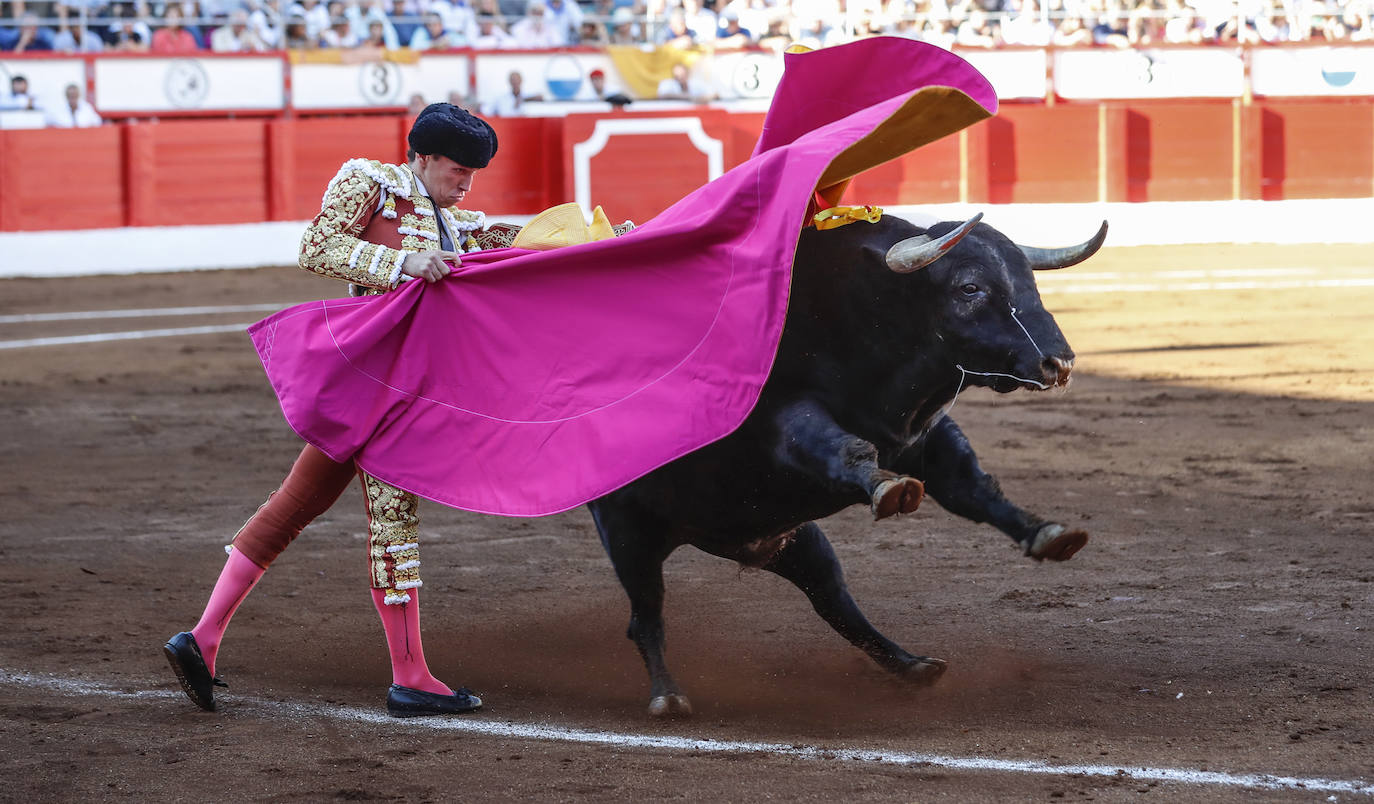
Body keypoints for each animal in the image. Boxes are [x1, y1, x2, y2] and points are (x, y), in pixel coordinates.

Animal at [585, 213, 1110, 714]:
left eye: (1029, 277)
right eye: (969, 288)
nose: (1059, 363)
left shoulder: (924, 438)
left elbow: (973, 486)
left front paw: (1048, 534)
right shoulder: (785, 420)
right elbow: (840, 447)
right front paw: (890, 489)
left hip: (785, 540)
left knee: (833, 598)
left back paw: (912, 665)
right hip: (627, 531)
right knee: (645, 615)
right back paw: (667, 696)